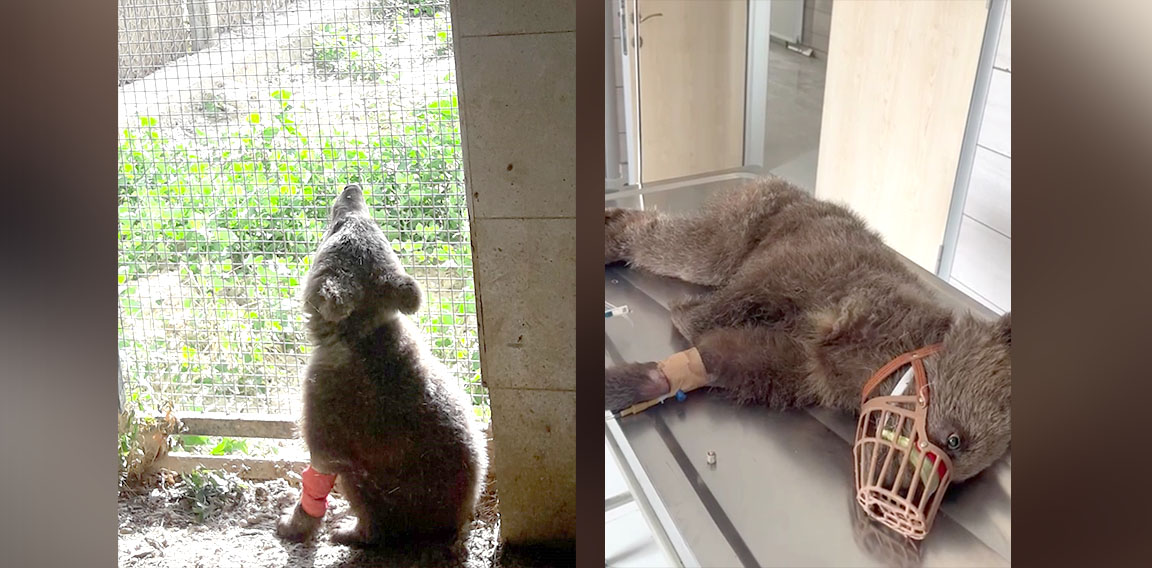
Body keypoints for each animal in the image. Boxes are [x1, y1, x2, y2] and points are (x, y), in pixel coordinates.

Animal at [276, 184, 488, 546]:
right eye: (372, 225)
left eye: (337, 227)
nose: (352, 189)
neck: (354, 335)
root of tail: (453, 527)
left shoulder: (325, 404)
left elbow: (318, 464)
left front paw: (295, 522)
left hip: (383, 486)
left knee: (370, 505)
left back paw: (350, 529)